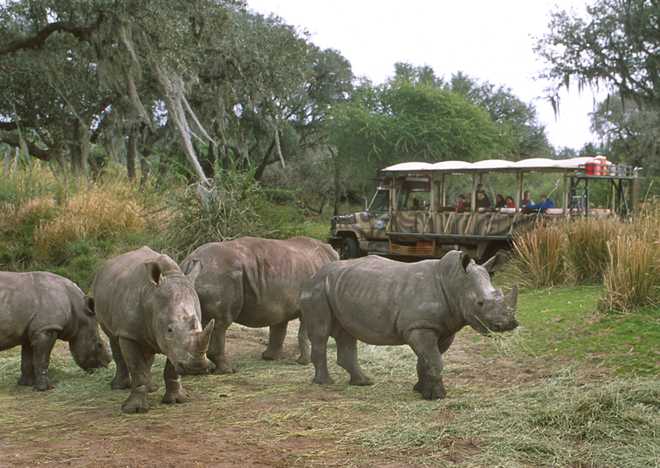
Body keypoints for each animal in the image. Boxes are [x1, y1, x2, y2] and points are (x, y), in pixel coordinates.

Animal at [92, 247, 214, 414]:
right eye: (169, 329)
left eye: (198, 325)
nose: (196, 367)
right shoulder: (128, 333)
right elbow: (137, 368)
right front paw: (134, 409)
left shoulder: (172, 344)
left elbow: (171, 366)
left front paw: (177, 400)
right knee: (113, 339)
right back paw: (119, 387)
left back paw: (151, 388)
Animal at [180, 236, 339, 374]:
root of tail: (190, 261)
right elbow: (303, 333)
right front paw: (304, 362)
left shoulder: (280, 304)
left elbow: (279, 329)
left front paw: (270, 357)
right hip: (218, 275)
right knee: (220, 324)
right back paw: (228, 370)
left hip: (207, 276)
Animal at [300, 251, 518, 400]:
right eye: (480, 303)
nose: (508, 324)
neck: (455, 282)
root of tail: (315, 273)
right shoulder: (419, 326)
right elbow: (434, 360)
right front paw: (438, 396)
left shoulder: (443, 328)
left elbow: (426, 359)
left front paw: (421, 390)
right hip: (318, 288)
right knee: (321, 333)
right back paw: (324, 383)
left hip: (339, 288)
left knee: (346, 333)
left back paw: (363, 382)